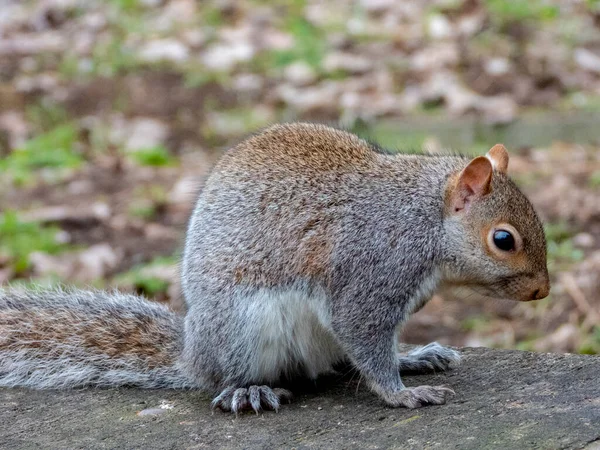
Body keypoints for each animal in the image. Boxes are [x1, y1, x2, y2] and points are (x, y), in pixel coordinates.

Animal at [0, 123, 548, 414]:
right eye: (503, 239)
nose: (542, 292)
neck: (423, 217)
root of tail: (193, 354)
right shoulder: (370, 269)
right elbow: (365, 339)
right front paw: (404, 396)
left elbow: (373, 348)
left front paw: (409, 364)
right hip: (243, 327)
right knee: (229, 378)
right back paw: (250, 390)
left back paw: (415, 356)